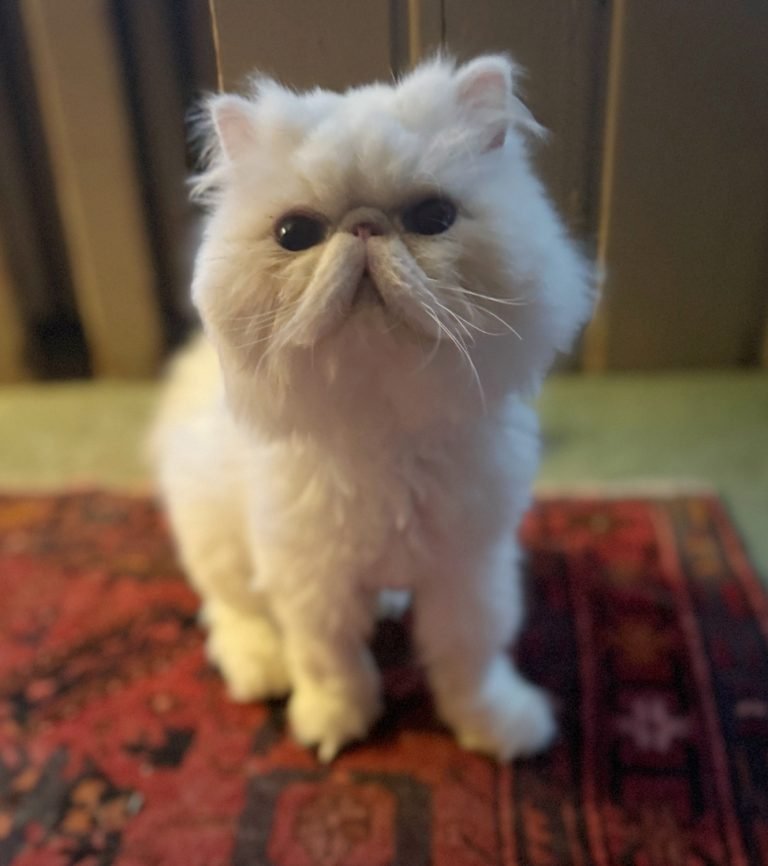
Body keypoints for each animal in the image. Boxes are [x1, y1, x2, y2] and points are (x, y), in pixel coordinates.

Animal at [151, 54, 593, 762]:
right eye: (294, 234)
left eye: (433, 217)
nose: (362, 226)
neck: (385, 428)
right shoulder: (311, 582)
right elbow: (331, 662)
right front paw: (333, 726)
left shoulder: (467, 571)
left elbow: (470, 663)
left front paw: (496, 729)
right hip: (216, 537)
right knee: (231, 611)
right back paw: (259, 668)